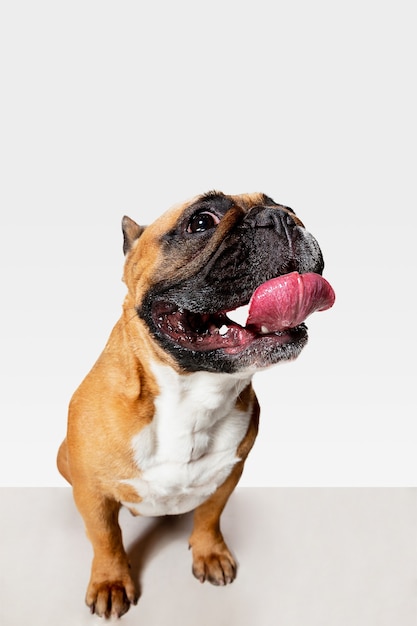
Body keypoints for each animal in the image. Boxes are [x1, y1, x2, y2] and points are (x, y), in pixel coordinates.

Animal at [56, 189, 334, 616]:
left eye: (289, 207)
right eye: (201, 222)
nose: (281, 218)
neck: (191, 393)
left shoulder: (228, 475)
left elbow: (209, 517)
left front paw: (210, 553)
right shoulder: (92, 493)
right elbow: (105, 537)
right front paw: (110, 580)